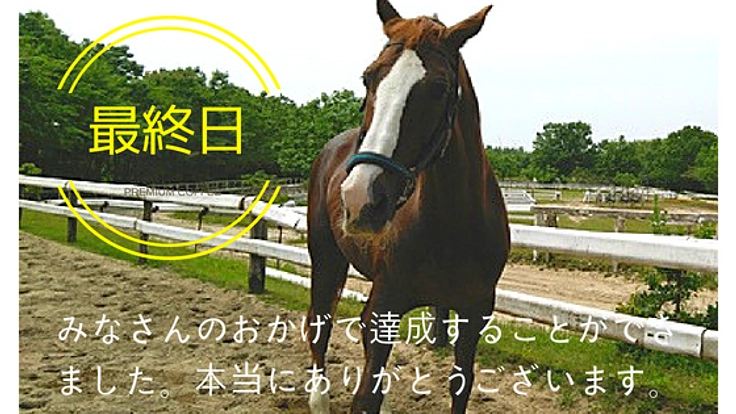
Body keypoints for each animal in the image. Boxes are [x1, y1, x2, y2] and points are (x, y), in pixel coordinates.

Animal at [306, 1, 509, 412]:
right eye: (368, 78)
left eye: (439, 89)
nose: (360, 197)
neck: (451, 227)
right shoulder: (384, 309)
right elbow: (367, 397)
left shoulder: (474, 314)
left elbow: (461, 386)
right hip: (325, 258)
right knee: (320, 326)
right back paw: (318, 399)